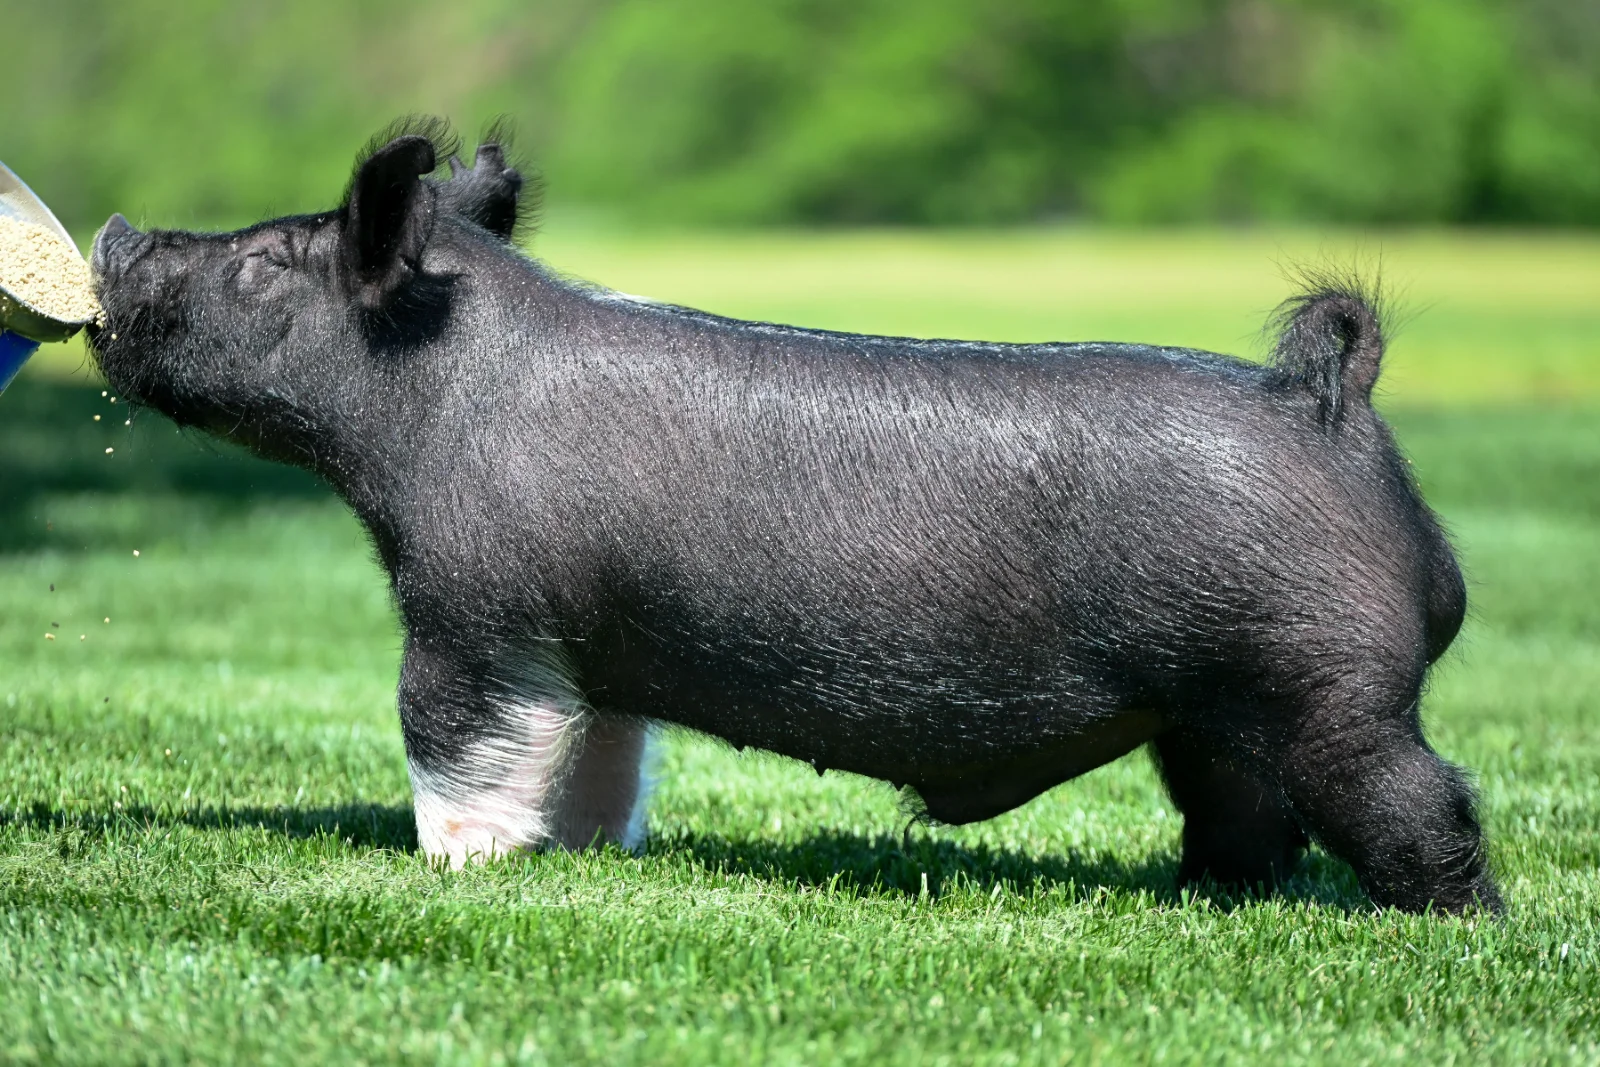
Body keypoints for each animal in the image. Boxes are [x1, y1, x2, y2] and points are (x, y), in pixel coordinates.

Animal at [88, 120, 1500, 914]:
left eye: (266, 262)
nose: (113, 229)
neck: (434, 394)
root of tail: (1321, 403)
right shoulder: (592, 646)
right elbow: (600, 756)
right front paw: (586, 853)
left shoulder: (474, 607)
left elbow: (452, 740)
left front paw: (455, 870)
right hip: (1215, 707)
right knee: (1243, 818)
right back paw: (1197, 896)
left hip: (1329, 685)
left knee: (1424, 800)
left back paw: (1455, 924)